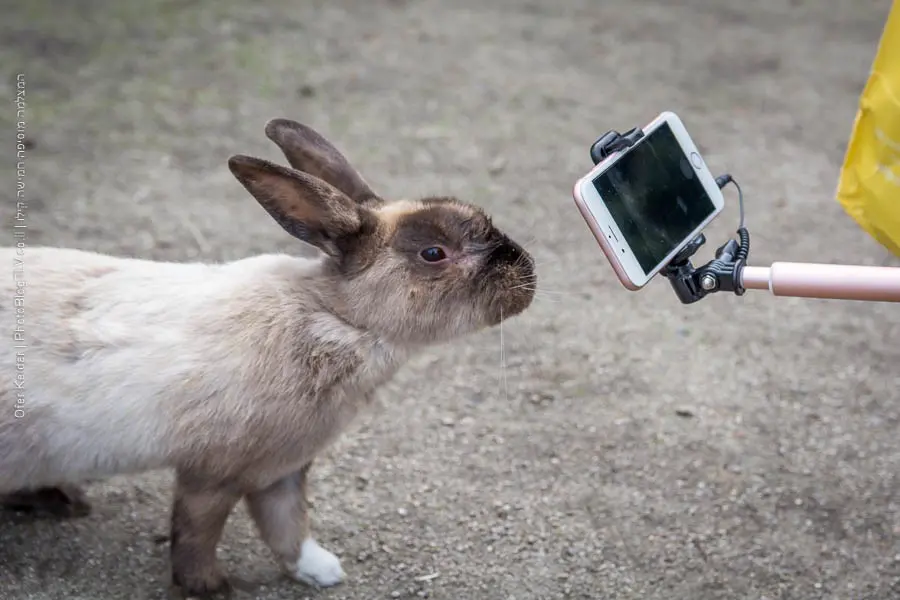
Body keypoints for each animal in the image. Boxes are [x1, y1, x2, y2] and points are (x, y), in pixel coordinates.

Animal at [0, 118, 536, 597]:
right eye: (433, 253)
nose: (528, 273)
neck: (341, 319)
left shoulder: (282, 470)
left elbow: (288, 528)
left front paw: (321, 571)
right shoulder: (212, 474)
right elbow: (197, 534)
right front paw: (213, 589)